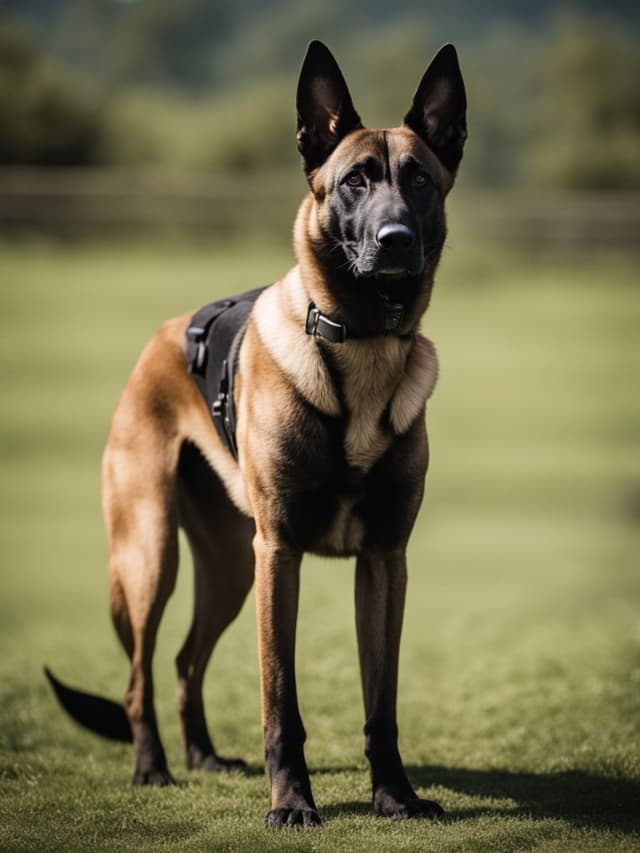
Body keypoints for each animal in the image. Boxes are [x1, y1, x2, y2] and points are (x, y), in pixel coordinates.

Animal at [45, 38, 464, 824]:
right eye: (355, 182)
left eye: (420, 180)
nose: (395, 240)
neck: (360, 343)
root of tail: (160, 336)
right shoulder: (281, 555)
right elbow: (280, 699)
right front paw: (291, 800)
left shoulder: (384, 562)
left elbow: (382, 700)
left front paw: (394, 794)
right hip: (152, 555)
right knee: (140, 675)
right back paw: (153, 766)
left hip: (230, 568)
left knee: (185, 661)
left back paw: (204, 756)